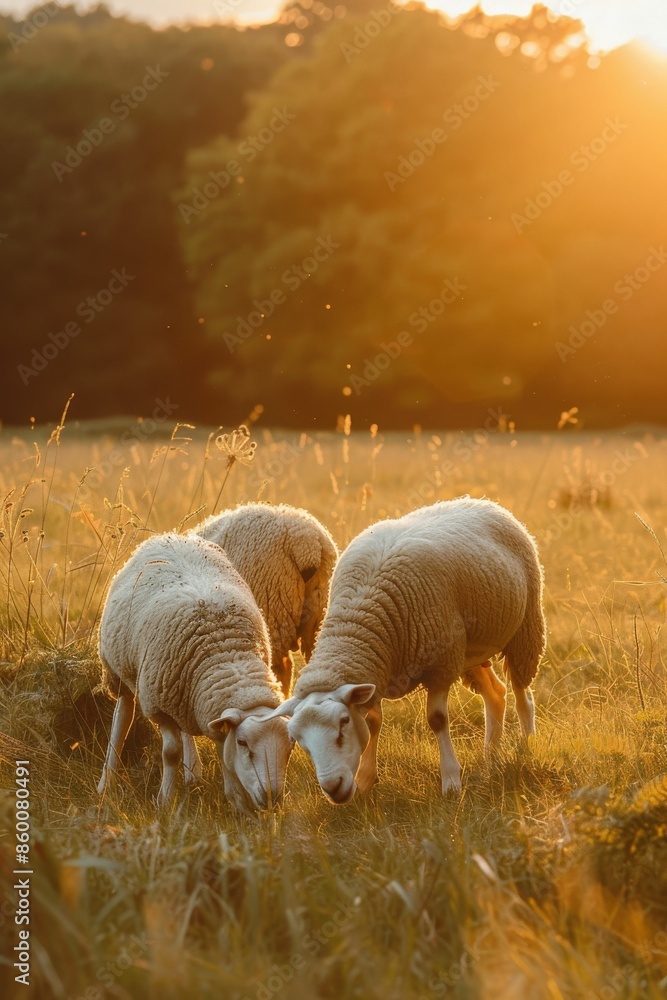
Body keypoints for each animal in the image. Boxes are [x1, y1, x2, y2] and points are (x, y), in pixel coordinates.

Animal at [97, 532, 292, 811]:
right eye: (243, 743)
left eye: (290, 747)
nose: (271, 799)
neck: (227, 653)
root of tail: (169, 536)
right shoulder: (158, 704)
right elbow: (171, 752)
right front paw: (165, 801)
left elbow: (224, 757)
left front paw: (238, 803)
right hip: (120, 672)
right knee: (122, 717)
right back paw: (107, 782)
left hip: (181, 688)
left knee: (185, 728)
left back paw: (192, 773)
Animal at [270, 498, 546, 803]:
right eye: (300, 741)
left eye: (343, 723)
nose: (333, 788)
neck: (359, 617)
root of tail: (480, 501)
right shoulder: (378, 672)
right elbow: (374, 721)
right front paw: (365, 779)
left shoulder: (439, 666)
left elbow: (437, 720)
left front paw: (451, 781)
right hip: (468, 650)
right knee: (496, 693)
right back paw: (491, 755)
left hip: (525, 629)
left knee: (522, 694)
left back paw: (527, 746)